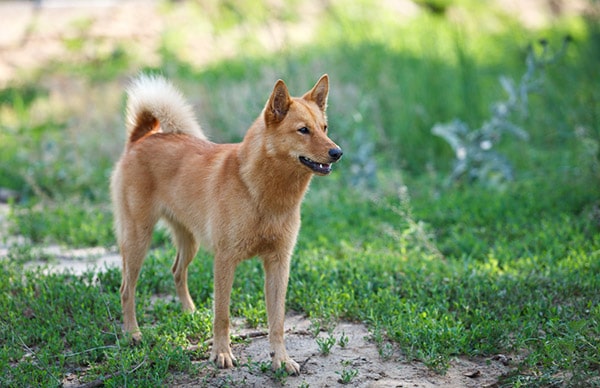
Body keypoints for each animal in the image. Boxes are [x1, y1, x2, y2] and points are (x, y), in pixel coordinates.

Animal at [109, 72, 342, 372]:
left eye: (324, 127)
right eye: (303, 130)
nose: (338, 152)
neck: (260, 192)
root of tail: (141, 137)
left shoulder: (278, 263)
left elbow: (277, 321)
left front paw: (281, 359)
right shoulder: (225, 261)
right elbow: (222, 315)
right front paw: (221, 353)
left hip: (189, 241)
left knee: (177, 271)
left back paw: (190, 314)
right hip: (138, 240)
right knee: (126, 289)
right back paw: (132, 333)